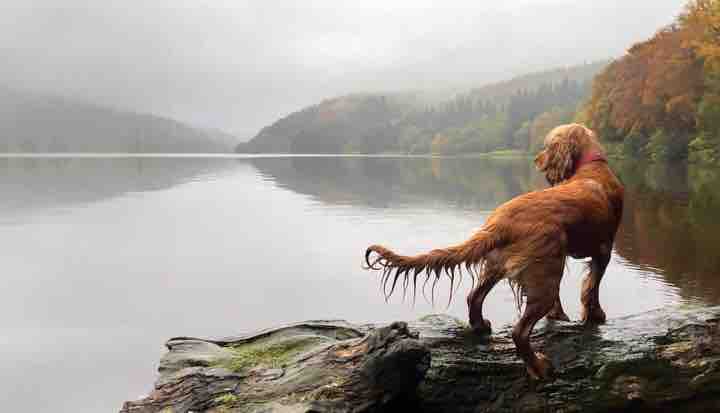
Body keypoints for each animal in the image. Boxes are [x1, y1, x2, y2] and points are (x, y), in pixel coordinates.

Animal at [366, 124, 624, 378]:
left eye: (547, 146)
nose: (537, 160)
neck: (592, 167)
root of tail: (500, 222)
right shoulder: (602, 251)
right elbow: (592, 288)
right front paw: (595, 315)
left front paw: (560, 315)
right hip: (541, 275)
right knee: (519, 332)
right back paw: (539, 368)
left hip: (501, 264)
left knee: (474, 296)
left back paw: (481, 326)